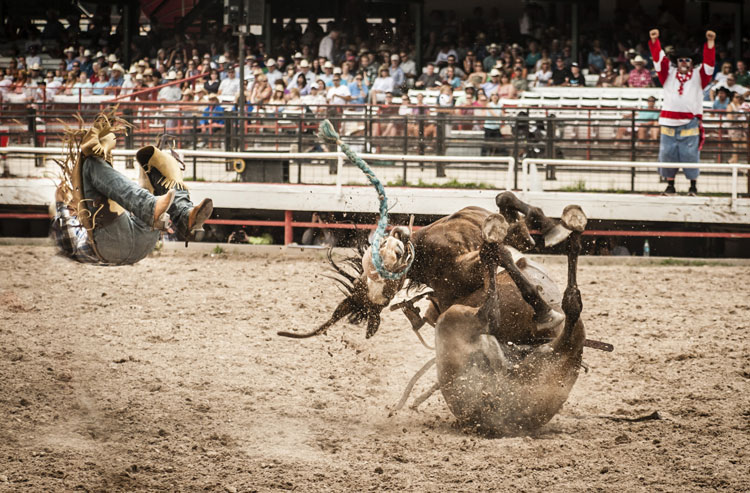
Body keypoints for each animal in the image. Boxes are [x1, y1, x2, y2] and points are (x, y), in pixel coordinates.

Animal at [280, 189, 612, 434]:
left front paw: (551, 228)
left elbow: (505, 206)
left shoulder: (499, 231)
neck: (432, 251)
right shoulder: (469, 268)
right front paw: (543, 309)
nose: (399, 243)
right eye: (380, 289)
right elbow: (498, 253)